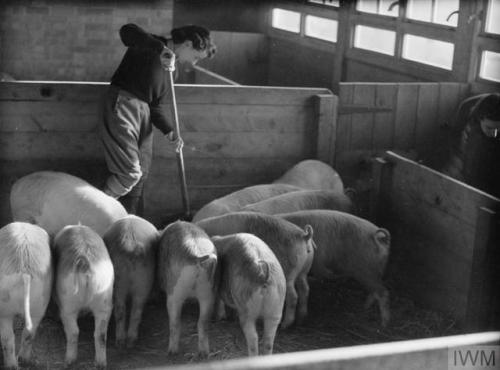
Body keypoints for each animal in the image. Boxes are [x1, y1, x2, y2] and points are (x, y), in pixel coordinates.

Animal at [0, 221, 52, 368]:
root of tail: (25, 272)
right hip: (40, 301)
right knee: (27, 333)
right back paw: (21, 362)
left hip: (4, 307)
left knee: (8, 337)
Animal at [53, 224, 114, 368]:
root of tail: (85, 263)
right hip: (104, 299)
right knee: (100, 334)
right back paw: (100, 364)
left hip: (68, 301)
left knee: (73, 331)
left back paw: (68, 361)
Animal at [103, 215, 160, 348]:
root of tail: (129, 240)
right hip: (143, 281)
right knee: (136, 310)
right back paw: (131, 341)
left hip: (118, 282)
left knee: (120, 310)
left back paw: (121, 342)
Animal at [158, 221, 217, 356]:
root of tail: (196, 255)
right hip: (207, 290)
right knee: (203, 322)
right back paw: (204, 354)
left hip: (175, 292)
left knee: (175, 323)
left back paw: (172, 352)